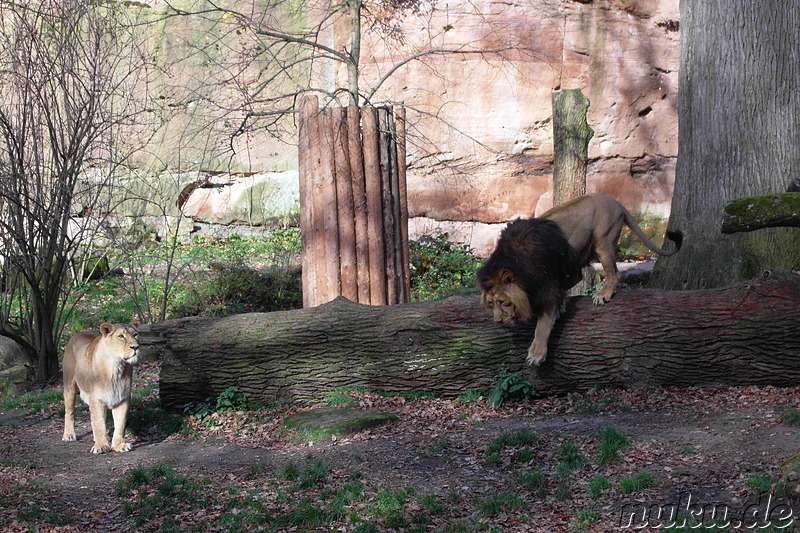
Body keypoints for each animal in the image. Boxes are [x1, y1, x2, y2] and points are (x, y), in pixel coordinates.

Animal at [61, 320, 140, 454]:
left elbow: (120, 424)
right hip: (69, 386)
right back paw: (69, 435)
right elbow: (99, 424)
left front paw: (119, 445)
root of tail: (77, 333)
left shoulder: (122, 398)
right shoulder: (97, 399)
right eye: (121, 336)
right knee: (69, 412)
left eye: (135, 335)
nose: (135, 347)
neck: (115, 368)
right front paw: (101, 446)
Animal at [478, 193, 684, 364]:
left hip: (603, 240)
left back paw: (603, 294)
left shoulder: (548, 284)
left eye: (502, 301)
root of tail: (615, 201)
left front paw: (536, 353)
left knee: (614, 273)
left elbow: (543, 324)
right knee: (580, 274)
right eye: (490, 303)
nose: (497, 321)